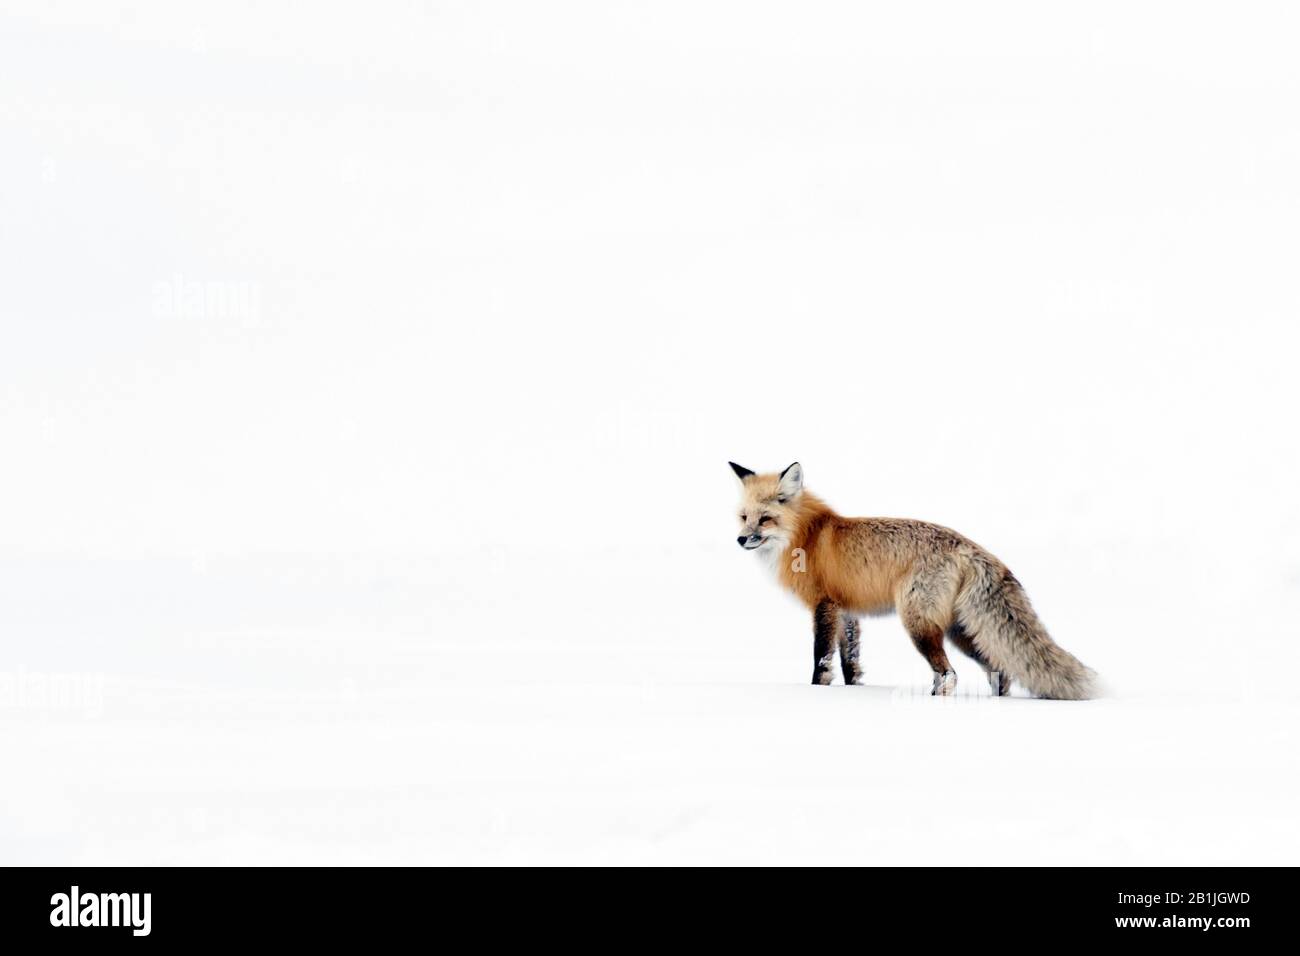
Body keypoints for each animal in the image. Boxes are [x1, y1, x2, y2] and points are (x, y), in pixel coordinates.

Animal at [733, 460, 1097, 697]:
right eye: (743, 517)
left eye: (765, 520)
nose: (740, 540)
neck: (807, 536)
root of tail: (968, 545)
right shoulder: (847, 612)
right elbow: (851, 662)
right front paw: (853, 692)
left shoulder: (824, 605)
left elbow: (821, 658)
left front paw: (816, 692)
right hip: (962, 630)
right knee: (999, 670)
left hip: (919, 623)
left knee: (949, 674)